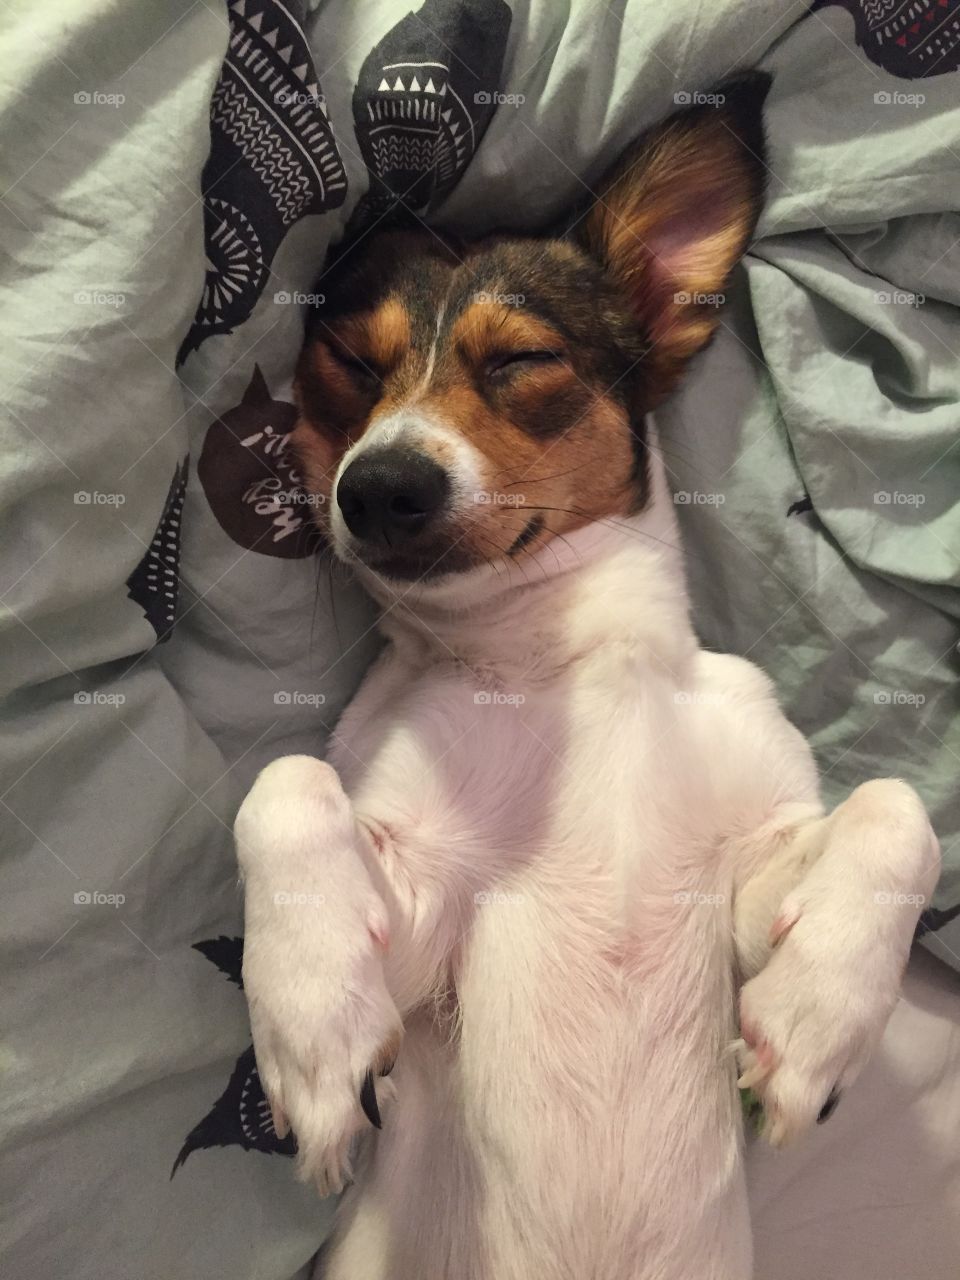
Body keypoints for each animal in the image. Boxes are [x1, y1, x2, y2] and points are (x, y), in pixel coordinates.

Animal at [236, 77, 942, 1280]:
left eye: (522, 361)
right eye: (353, 369)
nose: (378, 487)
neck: (556, 666)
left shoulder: (740, 894)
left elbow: (898, 811)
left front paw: (816, 1014)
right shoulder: (423, 922)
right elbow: (282, 783)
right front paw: (313, 1025)